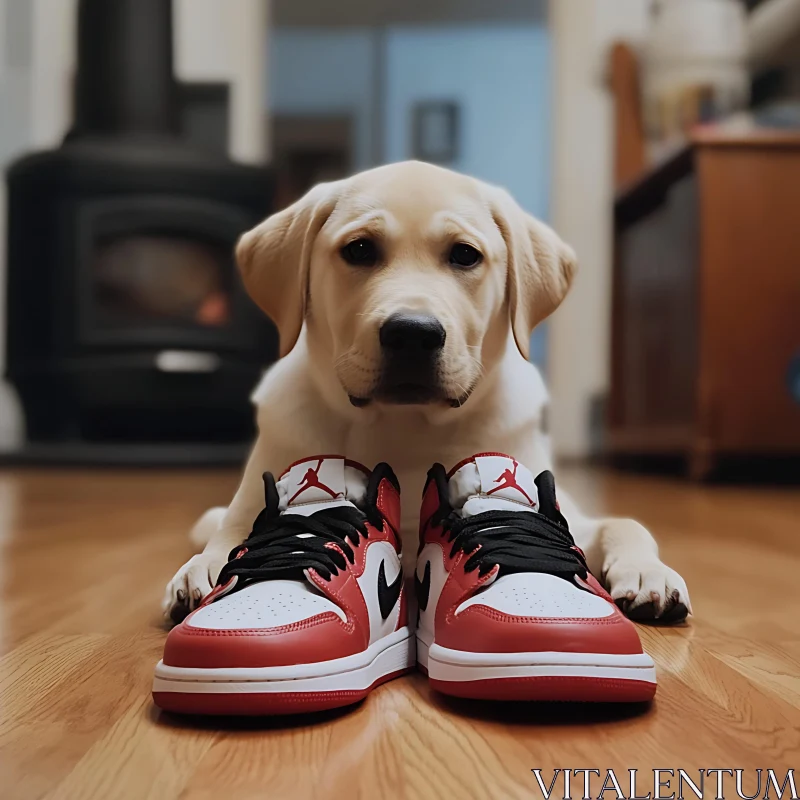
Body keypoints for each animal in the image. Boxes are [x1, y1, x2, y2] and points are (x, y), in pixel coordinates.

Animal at [166, 161, 692, 624]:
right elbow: (231, 534)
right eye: (359, 249)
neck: (405, 428)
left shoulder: (565, 513)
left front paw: (648, 573)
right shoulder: (255, 502)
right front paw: (203, 569)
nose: (412, 333)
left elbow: (624, 522)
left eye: (465, 254)